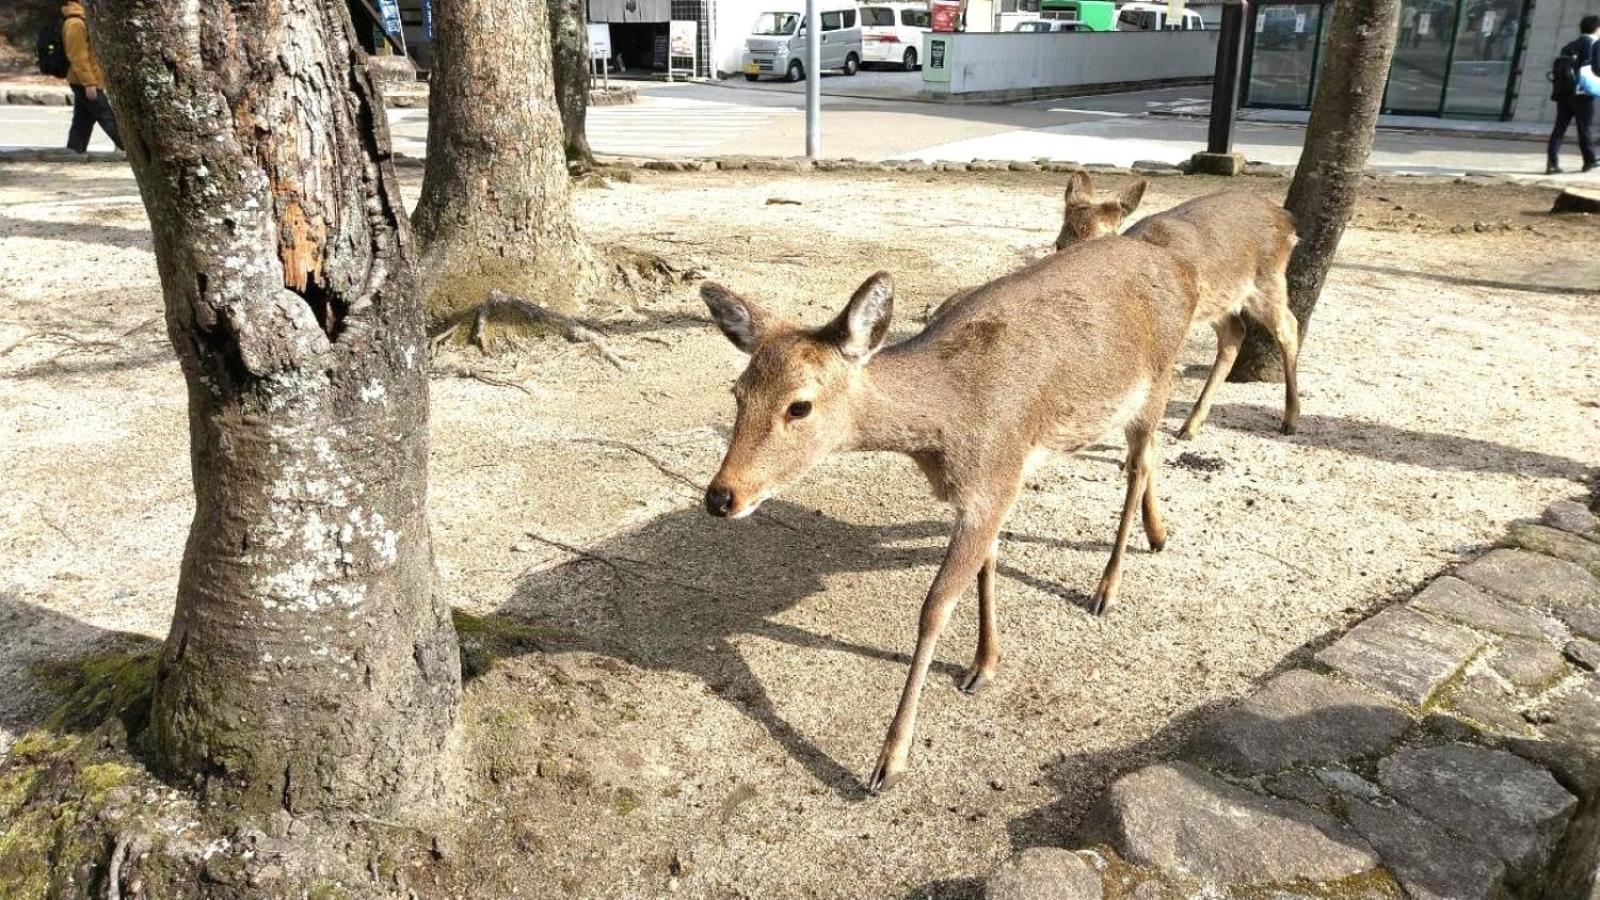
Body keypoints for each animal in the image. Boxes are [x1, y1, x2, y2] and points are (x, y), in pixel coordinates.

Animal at [700, 235, 1203, 787]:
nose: (720, 496)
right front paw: (984, 665)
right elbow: (988, 564)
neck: (947, 427)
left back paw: (1105, 590)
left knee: (1138, 465)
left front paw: (888, 762)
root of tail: (1185, 269)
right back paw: (1158, 535)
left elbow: (934, 607)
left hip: (1159, 381)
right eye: (737, 392)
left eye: (800, 405)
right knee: (1147, 459)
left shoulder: (994, 481)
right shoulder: (989, 489)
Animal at [1049, 171, 1299, 438]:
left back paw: (1290, 420)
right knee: (1235, 333)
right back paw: (1190, 426)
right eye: (1059, 243)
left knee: (1288, 327)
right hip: (1216, 300)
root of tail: (1288, 220)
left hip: (1268, 279)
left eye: (1102, 241)